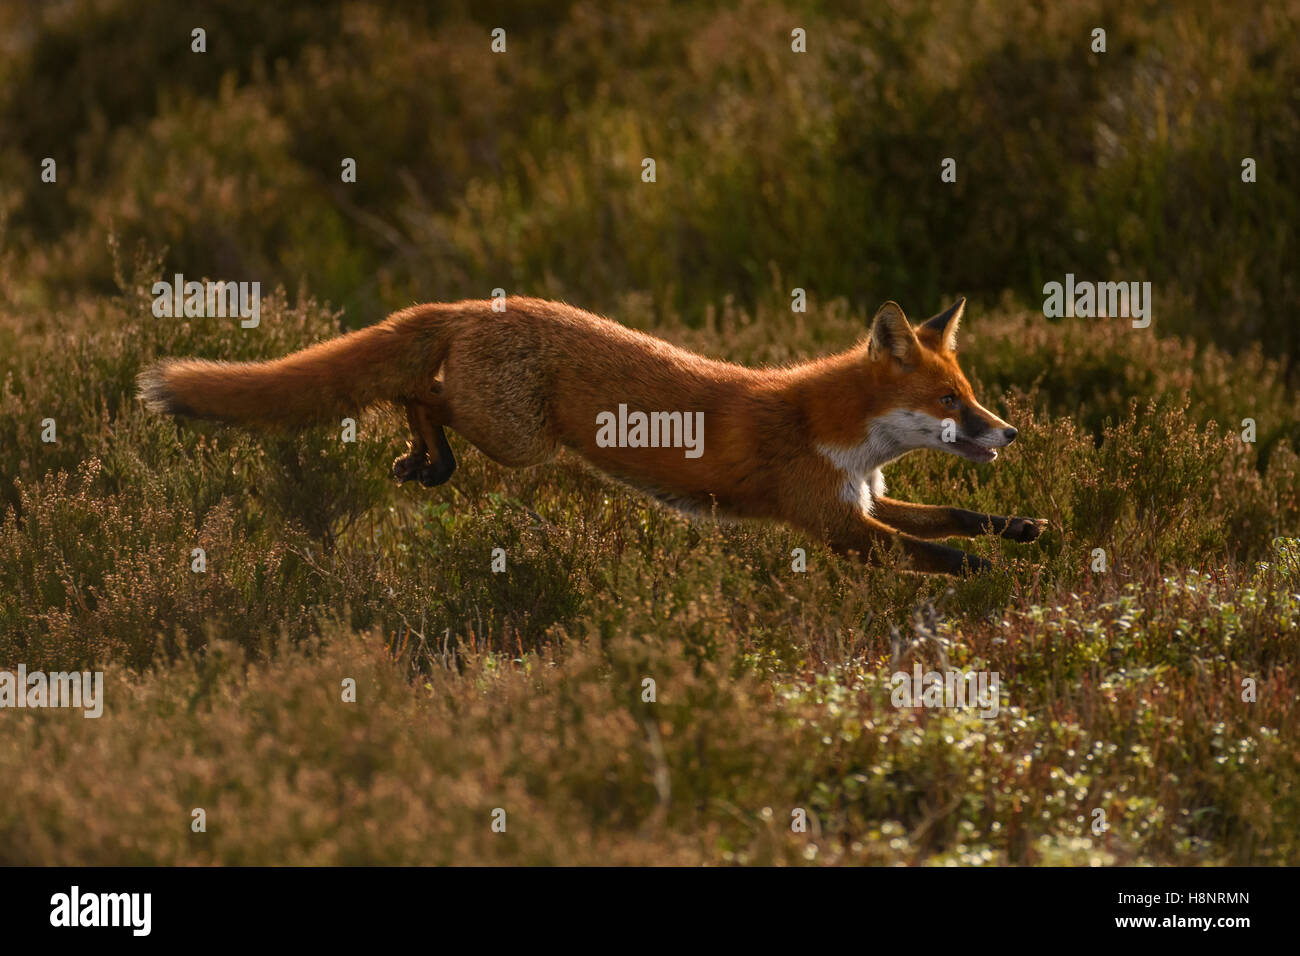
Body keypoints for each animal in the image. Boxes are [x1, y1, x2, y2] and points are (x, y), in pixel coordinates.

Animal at [139, 295, 1045, 574]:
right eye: (950, 401)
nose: (1007, 432)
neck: (835, 432)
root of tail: (474, 305)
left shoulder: (864, 499)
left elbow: (954, 518)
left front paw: (1020, 528)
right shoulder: (835, 524)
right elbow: (931, 552)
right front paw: (986, 573)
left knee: (413, 388)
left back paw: (424, 459)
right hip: (517, 438)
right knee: (413, 390)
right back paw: (427, 456)